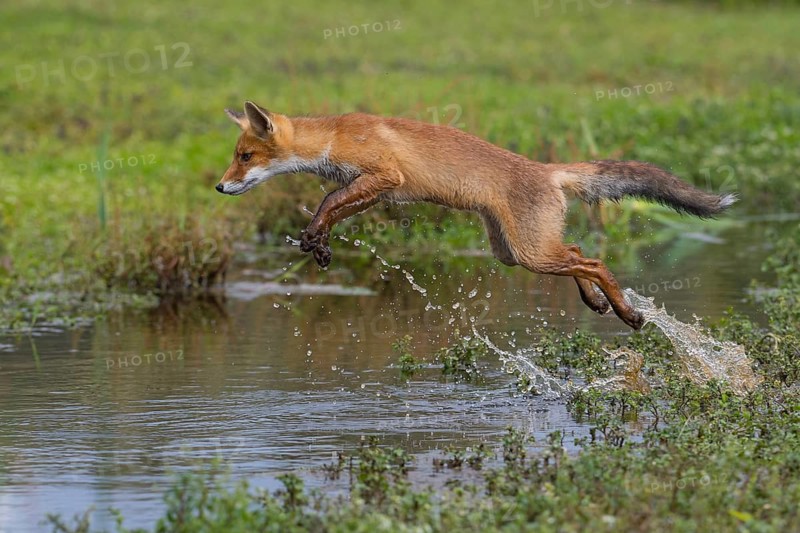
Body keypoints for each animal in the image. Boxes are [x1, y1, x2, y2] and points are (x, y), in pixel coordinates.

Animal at [217, 101, 736, 330]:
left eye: (244, 157)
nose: (220, 187)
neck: (335, 137)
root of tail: (545, 169)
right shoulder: (373, 190)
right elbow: (329, 207)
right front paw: (318, 243)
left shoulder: (384, 176)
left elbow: (327, 203)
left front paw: (315, 239)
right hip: (514, 251)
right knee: (577, 251)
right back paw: (596, 303)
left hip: (528, 252)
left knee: (592, 261)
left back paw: (627, 312)